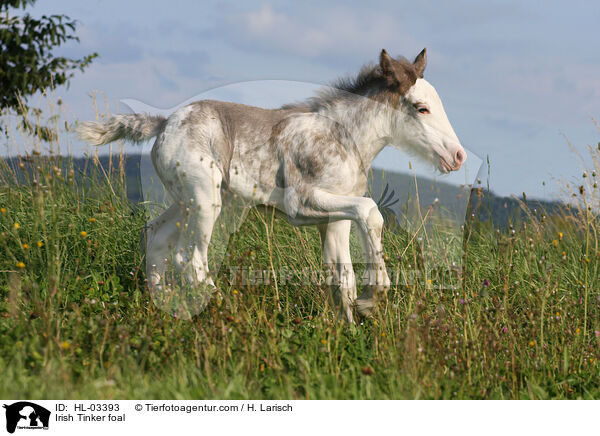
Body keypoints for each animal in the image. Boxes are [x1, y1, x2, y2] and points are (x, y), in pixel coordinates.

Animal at [77, 48, 466, 324]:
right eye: (421, 108)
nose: (458, 155)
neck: (342, 138)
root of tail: (163, 124)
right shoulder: (301, 205)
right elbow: (371, 212)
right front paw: (374, 298)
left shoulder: (335, 219)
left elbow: (343, 277)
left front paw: (353, 325)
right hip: (204, 200)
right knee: (190, 258)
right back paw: (226, 310)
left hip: (188, 200)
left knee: (155, 235)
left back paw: (163, 305)